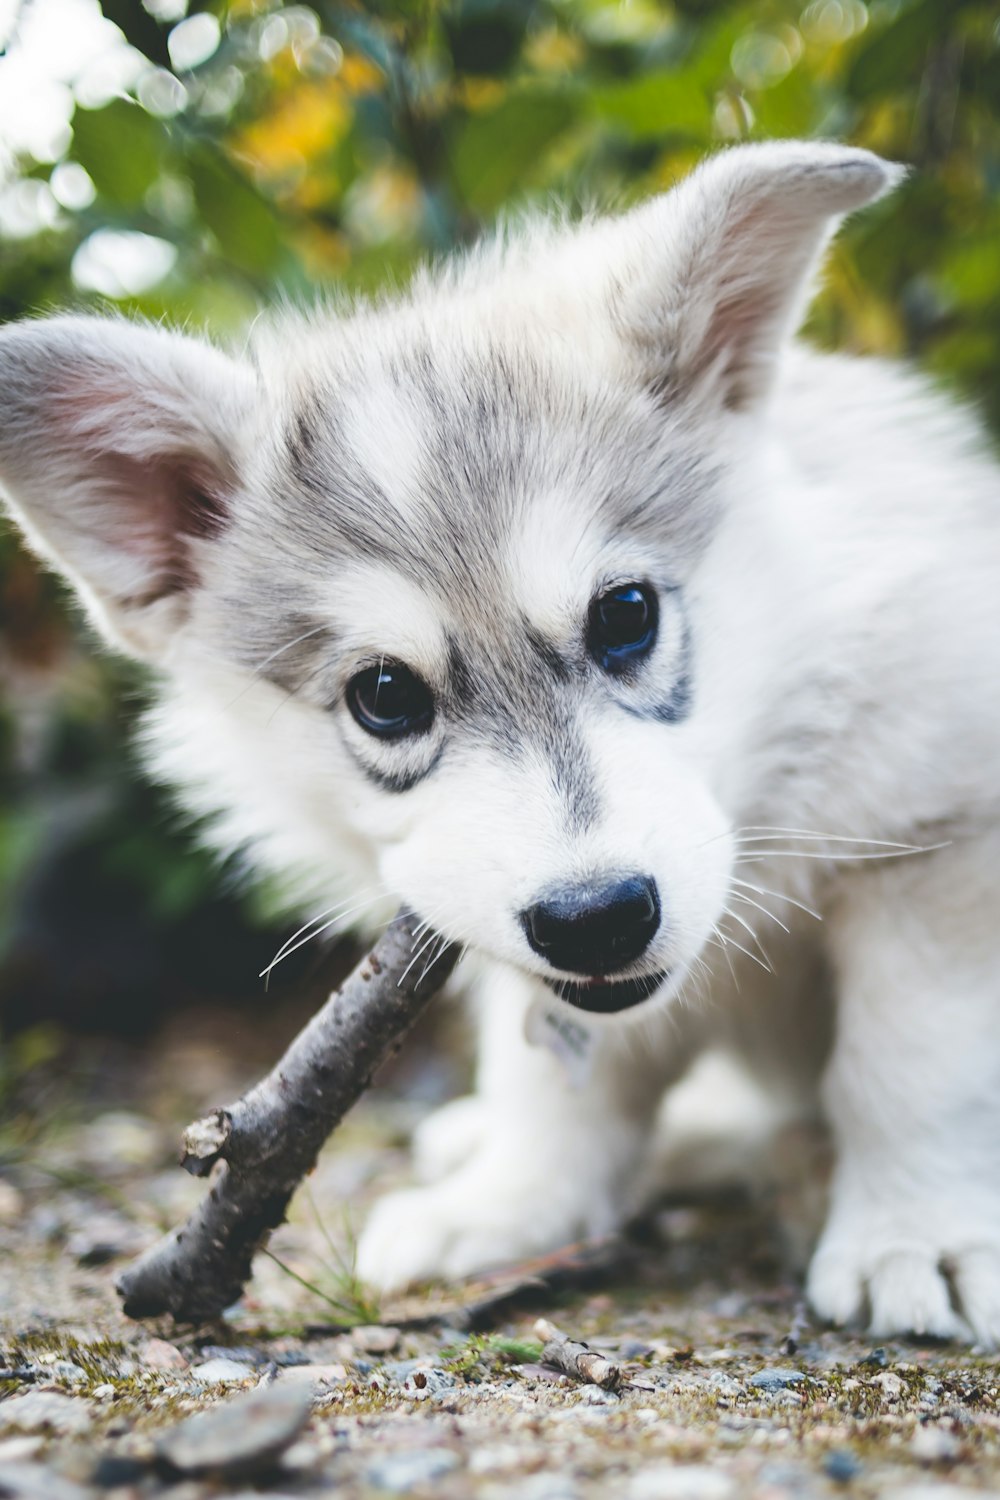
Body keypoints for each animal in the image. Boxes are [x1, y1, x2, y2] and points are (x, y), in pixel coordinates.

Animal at [1, 141, 1000, 1344]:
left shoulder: (939, 841)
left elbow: (911, 1062)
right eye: (385, 695)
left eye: (626, 614)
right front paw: (516, 1204)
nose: (597, 920)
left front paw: (920, 1232)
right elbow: (554, 1077)